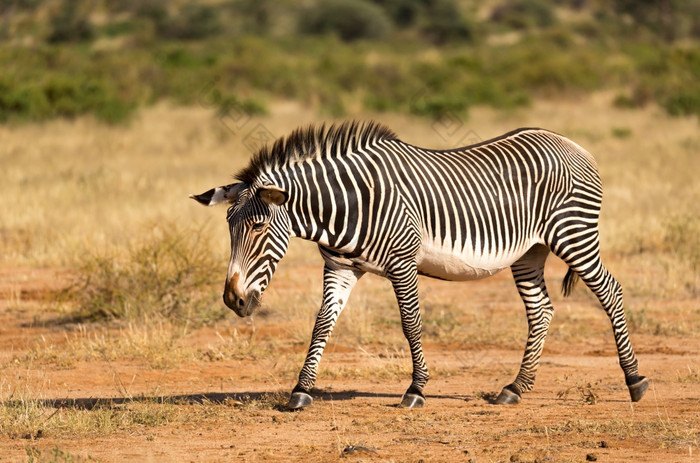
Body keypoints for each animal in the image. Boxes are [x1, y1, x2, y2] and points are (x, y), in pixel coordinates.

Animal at [193, 122, 652, 410]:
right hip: (530, 252)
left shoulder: (403, 262)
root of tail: (571, 143)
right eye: (230, 228)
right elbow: (322, 324)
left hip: (573, 234)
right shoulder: (340, 267)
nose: (232, 300)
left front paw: (415, 389)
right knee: (541, 311)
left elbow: (410, 323)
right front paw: (301, 391)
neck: (347, 206)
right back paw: (515, 389)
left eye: (258, 227)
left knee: (610, 291)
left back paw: (635, 381)